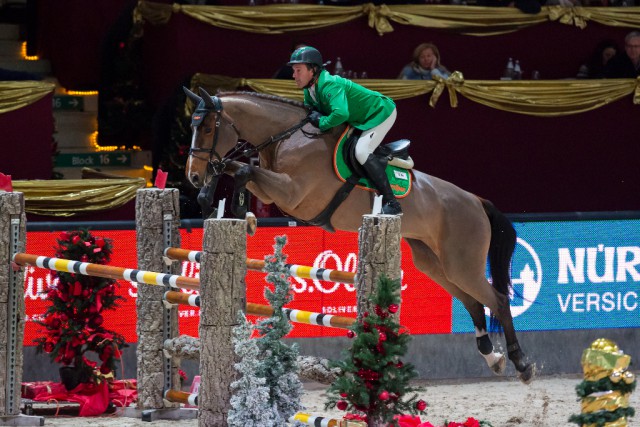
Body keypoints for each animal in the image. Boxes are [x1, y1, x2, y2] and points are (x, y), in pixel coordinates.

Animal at [184, 87, 536, 384]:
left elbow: (243, 169)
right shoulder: (274, 190)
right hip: (436, 264)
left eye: (207, 128)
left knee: (498, 300)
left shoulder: (291, 192)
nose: (192, 174)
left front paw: (236, 208)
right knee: (474, 303)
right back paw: (493, 358)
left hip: (462, 263)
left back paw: (521, 363)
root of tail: (475, 200)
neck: (284, 136)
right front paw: (214, 201)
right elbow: (233, 168)